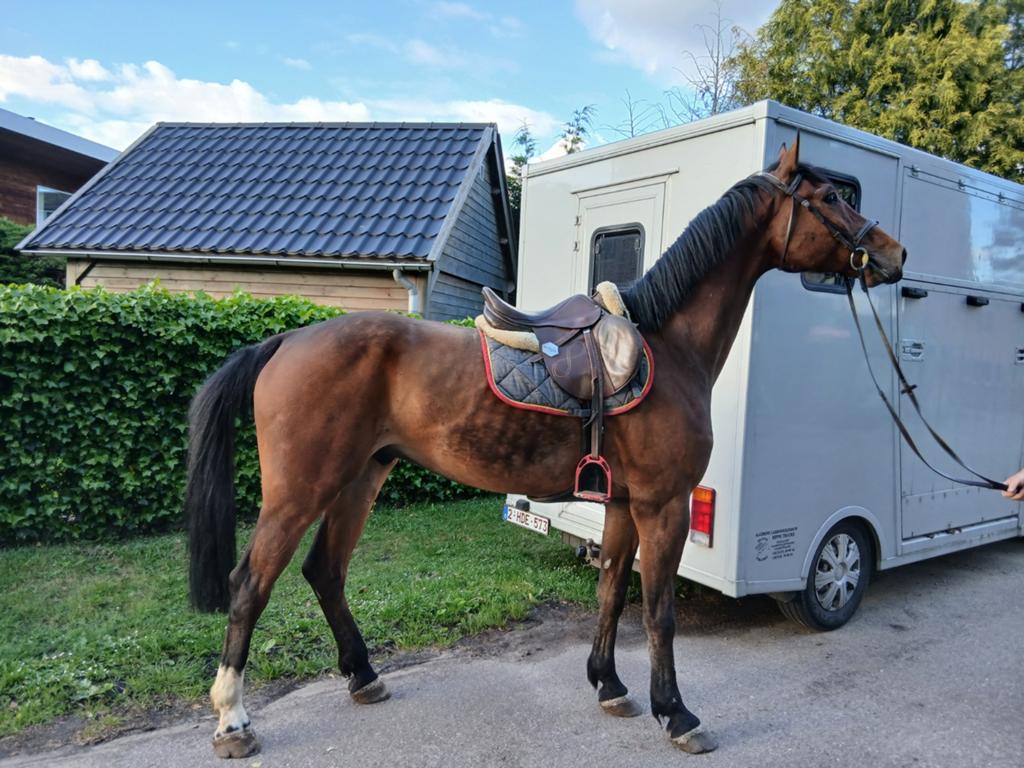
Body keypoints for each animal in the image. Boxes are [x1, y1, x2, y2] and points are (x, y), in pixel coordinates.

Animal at [185, 136, 906, 758]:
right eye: (833, 196)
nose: (894, 255)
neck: (669, 346)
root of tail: (284, 340)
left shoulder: (624, 505)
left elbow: (612, 588)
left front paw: (609, 685)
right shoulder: (664, 505)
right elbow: (661, 612)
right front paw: (677, 713)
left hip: (361, 478)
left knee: (325, 571)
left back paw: (364, 676)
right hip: (301, 490)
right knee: (251, 584)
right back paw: (233, 721)